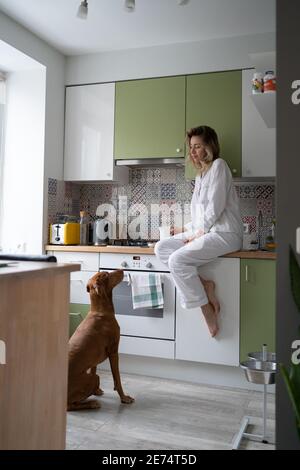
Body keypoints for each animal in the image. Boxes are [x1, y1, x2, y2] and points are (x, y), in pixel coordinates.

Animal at [68, 272, 135, 412]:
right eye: (107, 274)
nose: (122, 270)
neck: (100, 311)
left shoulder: (94, 358)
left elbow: (94, 368)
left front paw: (97, 391)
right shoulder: (114, 352)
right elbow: (117, 379)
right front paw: (124, 398)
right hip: (93, 378)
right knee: (69, 406)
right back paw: (92, 403)